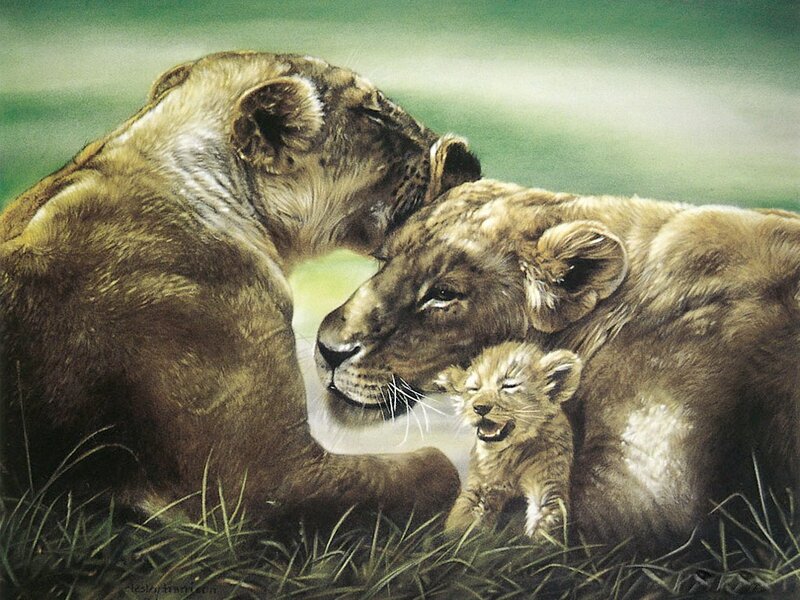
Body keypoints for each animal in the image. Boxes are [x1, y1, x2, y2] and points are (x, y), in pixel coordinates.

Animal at [437, 341, 580, 542]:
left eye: (508, 386)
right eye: (474, 389)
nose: (480, 407)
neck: (511, 452)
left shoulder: (547, 482)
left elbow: (545, 520)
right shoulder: (482, 485)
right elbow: (463, 519)